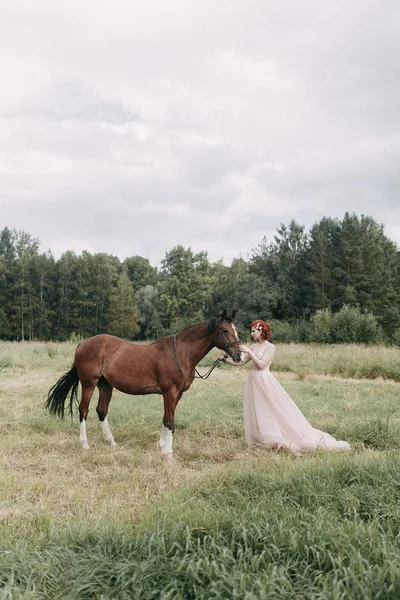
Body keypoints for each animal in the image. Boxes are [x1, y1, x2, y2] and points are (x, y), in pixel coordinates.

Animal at [45, 312, 242, 458]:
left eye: (236, 329)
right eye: (225, 330)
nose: (238, 354)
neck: (180, 353)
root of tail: (82, 344)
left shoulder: (176, 394)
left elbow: (165, 418)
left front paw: (162, 447)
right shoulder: (170, 392)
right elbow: (171, 422)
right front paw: (168, 453)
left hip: (105, 386)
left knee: (101, 411)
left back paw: (112, 443)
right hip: (89, 383)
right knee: (83, 410)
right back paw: (85, 444)